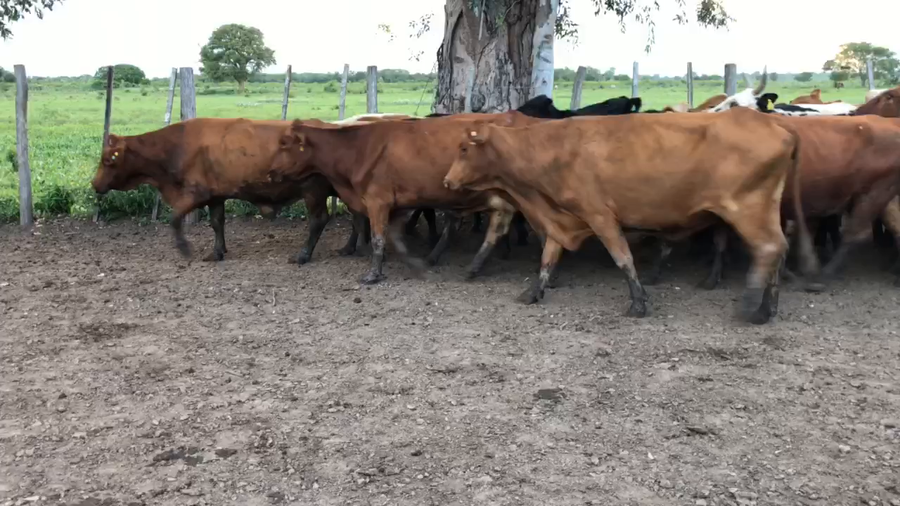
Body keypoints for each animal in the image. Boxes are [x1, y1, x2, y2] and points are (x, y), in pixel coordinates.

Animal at [268, 112, 546, 285]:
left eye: (285, 144)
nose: (269, 171)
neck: (358, 148)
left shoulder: (378, 200)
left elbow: (378, 238)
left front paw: (373, 274)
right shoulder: (398, 204)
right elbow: (394, 238)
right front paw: (415, 264)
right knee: (498, 226)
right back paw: (472, 266)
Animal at [442, 107, 817, 325]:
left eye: (464, 149)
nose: (447, 181)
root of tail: (772, 122)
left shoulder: (599, 214)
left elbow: (622, 257)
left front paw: (638, 303)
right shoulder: (563, 218)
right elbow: (548, 257)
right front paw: (534, 292)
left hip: (747, 208)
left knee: (769, 249)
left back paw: (751, 306)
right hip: (765, 209)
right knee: (777, 252)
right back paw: (767, 308)